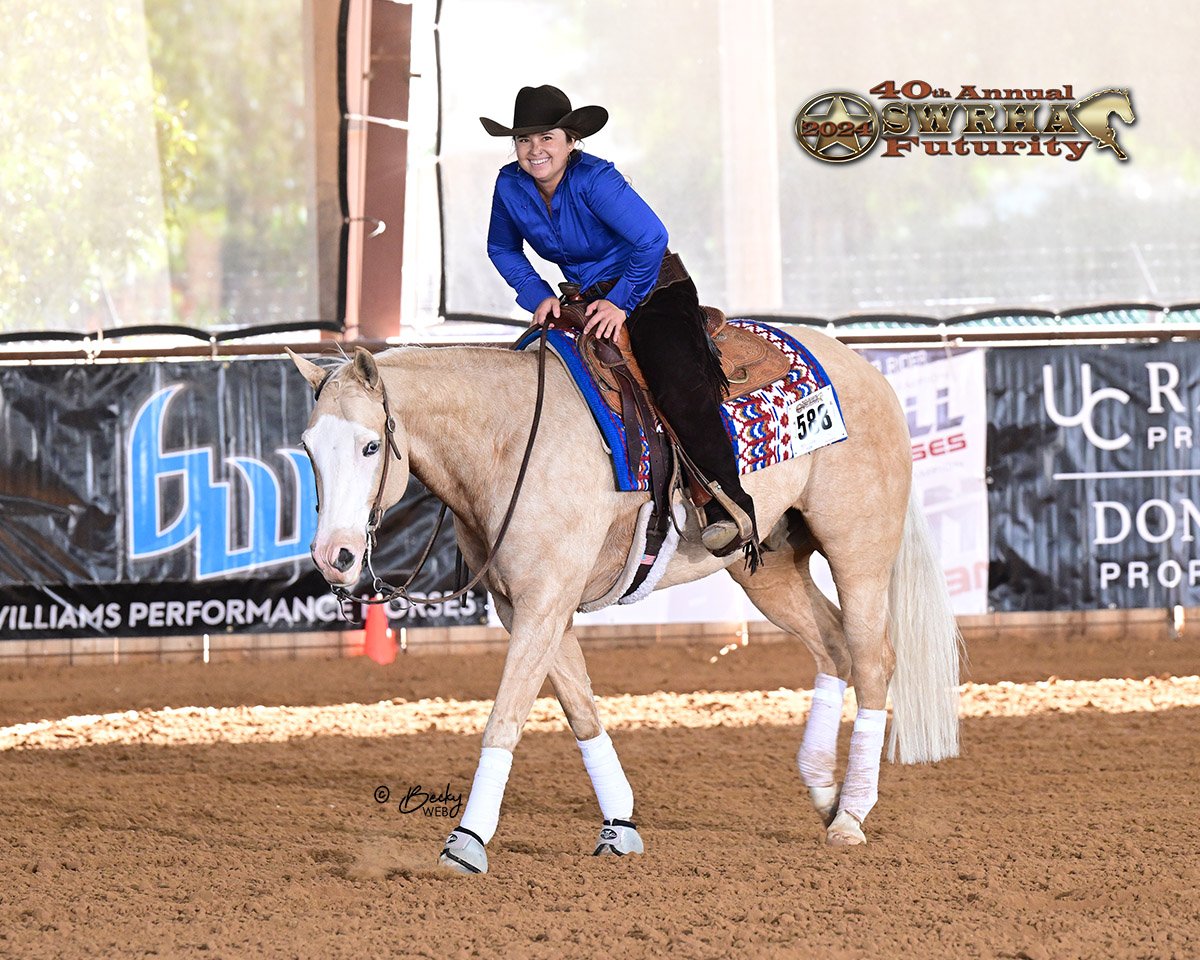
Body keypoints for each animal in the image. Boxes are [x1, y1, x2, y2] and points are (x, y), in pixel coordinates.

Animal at [287, 324, 961, 874]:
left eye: (371, 446)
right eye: (309, 447)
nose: (333, 556)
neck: (509, 442)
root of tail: (866, 371)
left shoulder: (543, 604)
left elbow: (504, 719)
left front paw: (467, 841)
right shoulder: (528, 610)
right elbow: (582, 710)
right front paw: (620, 826)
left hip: (858, 552)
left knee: (873, 661)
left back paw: (850, 814)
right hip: (768, 566)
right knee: (832, 649)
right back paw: (824, 791)